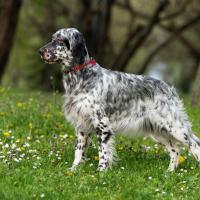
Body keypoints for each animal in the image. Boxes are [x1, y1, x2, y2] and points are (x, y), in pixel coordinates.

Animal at [39, 27, 200, 172]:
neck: (82, 77)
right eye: (52, 39)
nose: (40, 51)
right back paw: (169, 172)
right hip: (158, 130)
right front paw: (74, 169)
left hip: (175, 126)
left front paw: (101, 172)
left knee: (194, 145)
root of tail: (168, 87)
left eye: (60, 40)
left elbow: (103, 152)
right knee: (175, 150)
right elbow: (79, 151)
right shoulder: (82, 126)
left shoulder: (102, 125)